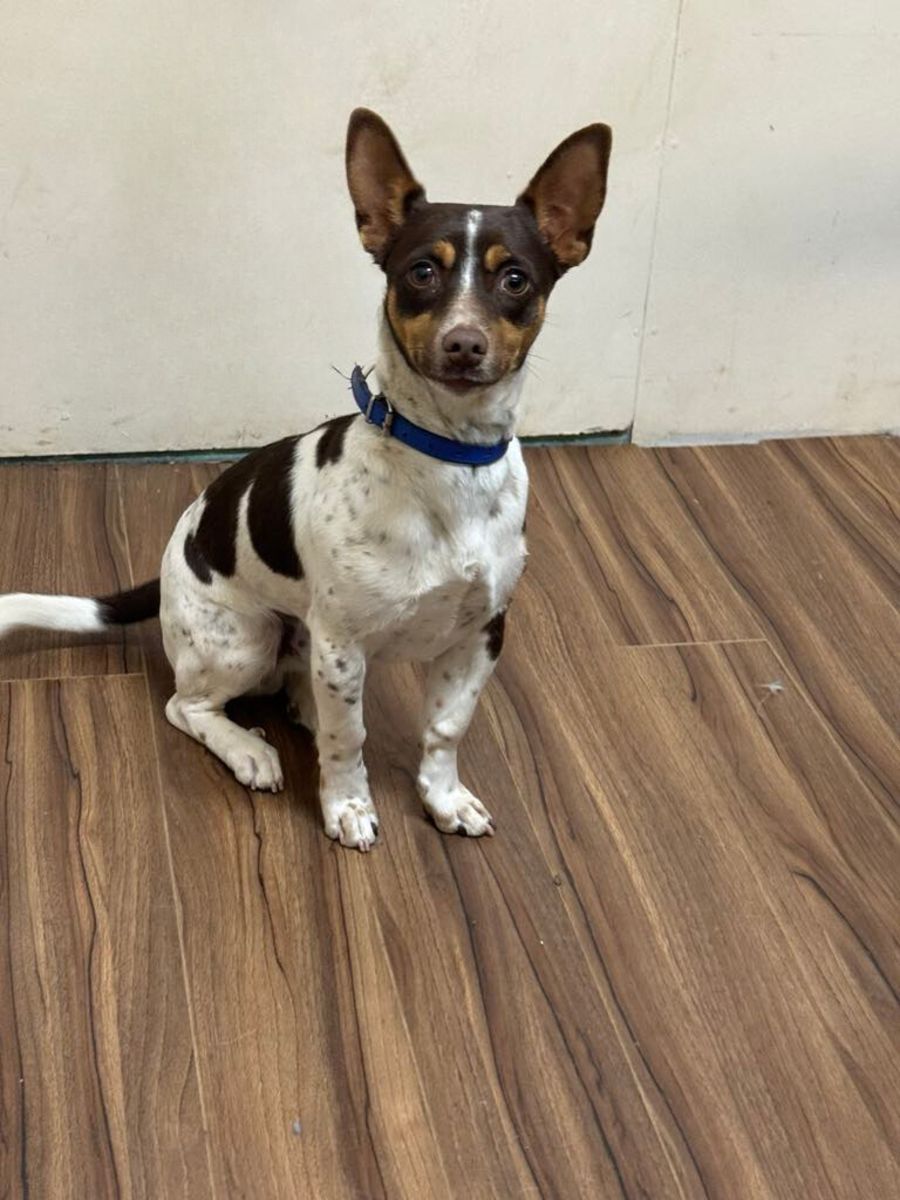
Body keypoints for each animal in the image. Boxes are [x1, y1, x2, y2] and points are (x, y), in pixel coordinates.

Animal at [0, 109, 611, 851]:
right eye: (421, 272)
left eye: (516, 280)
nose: (464, 344)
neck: (446, 460)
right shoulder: (344, 643)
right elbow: (351, 741)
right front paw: (346, 805)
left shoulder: (481, 636)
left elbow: (444, 729)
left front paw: (443, 797)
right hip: (243, 641)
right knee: (188, 705)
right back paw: (249, 748)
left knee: (295, 687)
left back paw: (303, 711)